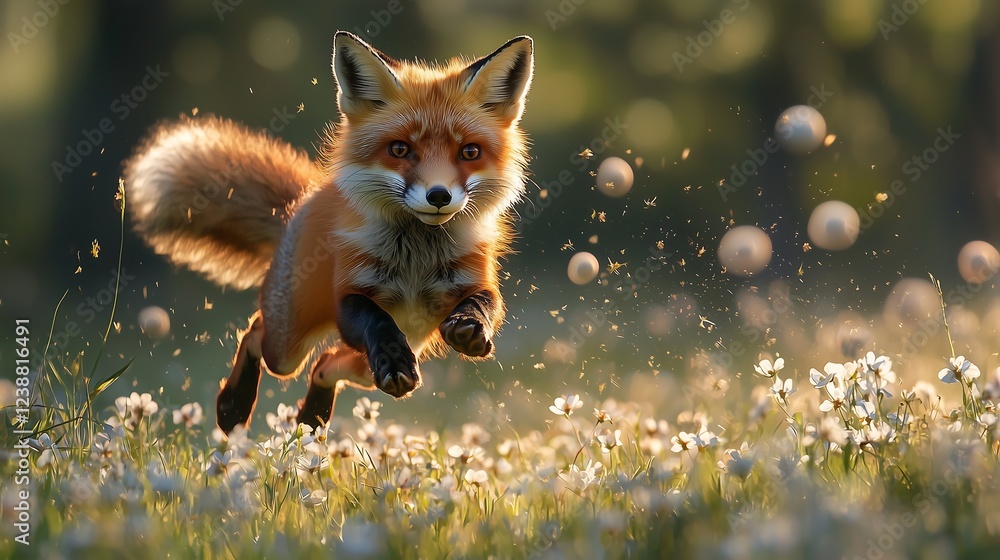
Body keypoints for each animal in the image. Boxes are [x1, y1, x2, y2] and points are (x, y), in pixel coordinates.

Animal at [123, 31, 533, 433]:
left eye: (469, 152)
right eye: (400, 149)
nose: (438, 196)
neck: (416, 258)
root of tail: (306, 198)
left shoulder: (474, 282)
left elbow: (483, 304)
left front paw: (470, 328)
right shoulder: (349, 294)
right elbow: (377, 323)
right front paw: (392, 359)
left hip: (379, 360)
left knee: (324, 366)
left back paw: (311, 418)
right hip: (289, 344)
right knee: (256, 335)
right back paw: (233, 407)